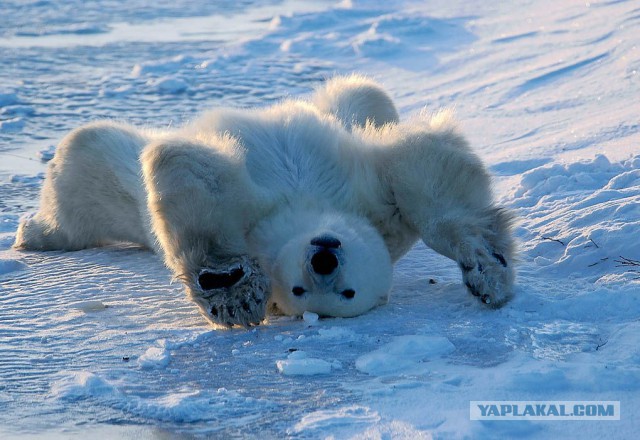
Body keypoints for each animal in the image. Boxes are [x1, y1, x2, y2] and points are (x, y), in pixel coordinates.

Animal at [13, 75, 516, 326]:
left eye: (348, 293)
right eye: (299, 289)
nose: (323, 259)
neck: (305, 209)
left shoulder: (376, 213)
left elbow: (427, 175)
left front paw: (486, 267)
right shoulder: (354, 201)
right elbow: (191, 173)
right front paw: (231, 287)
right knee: (86, 153)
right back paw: (34, 233)